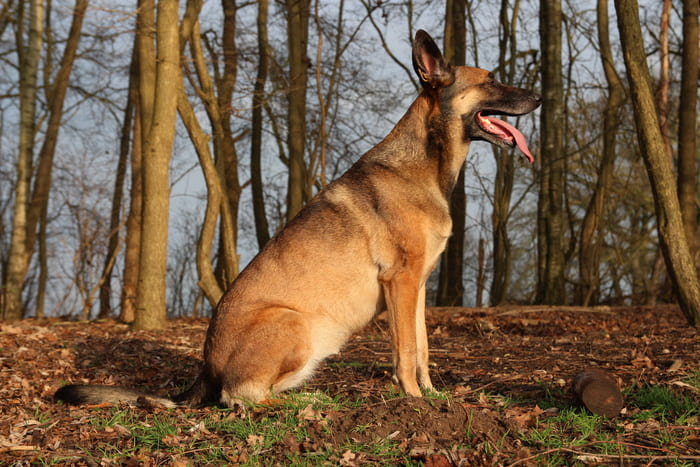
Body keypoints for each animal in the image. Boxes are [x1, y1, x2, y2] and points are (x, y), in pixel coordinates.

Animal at [55, 30, 540, 408]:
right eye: (491, 79)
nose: (538, 97)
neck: (423, 162)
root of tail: (205, 370)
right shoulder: (401, 283)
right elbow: (404, 353)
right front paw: (414, 402)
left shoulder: (417, 288)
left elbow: (421, 349)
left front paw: (432, 396)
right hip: (295, 322)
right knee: (239, 398)